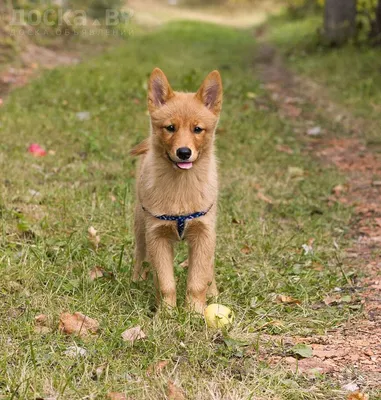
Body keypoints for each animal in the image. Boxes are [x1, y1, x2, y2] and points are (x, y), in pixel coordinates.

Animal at [131, 68, 223, 312]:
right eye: (170, 128)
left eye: (197, 129)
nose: (183, 152)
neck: (181, 188)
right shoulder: (157, 235)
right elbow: (165, 283)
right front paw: (167, 314)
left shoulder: (203, 233)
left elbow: (198, 280)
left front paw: (195, 312)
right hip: (140, 225)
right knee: (139, 254)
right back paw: (136, 280)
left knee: (209, 268)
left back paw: (213, 293)